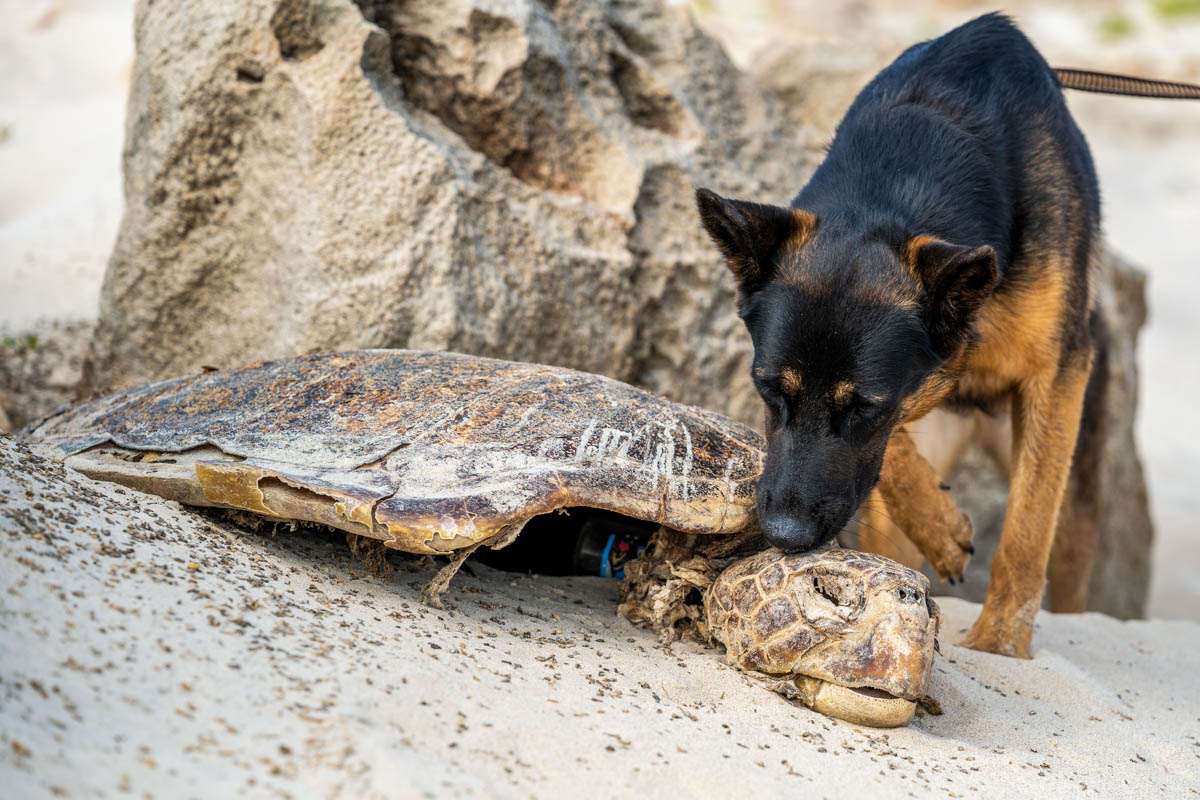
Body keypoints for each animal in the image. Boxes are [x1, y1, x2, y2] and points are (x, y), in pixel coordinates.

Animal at [700, 15, 1108, 662]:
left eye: (865, 406)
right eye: (768, 391)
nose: (785, 537)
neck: (900, 180)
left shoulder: (1057, 375)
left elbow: (1025, 527)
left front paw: (1000, 643)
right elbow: (892, 456)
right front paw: (942, 528)